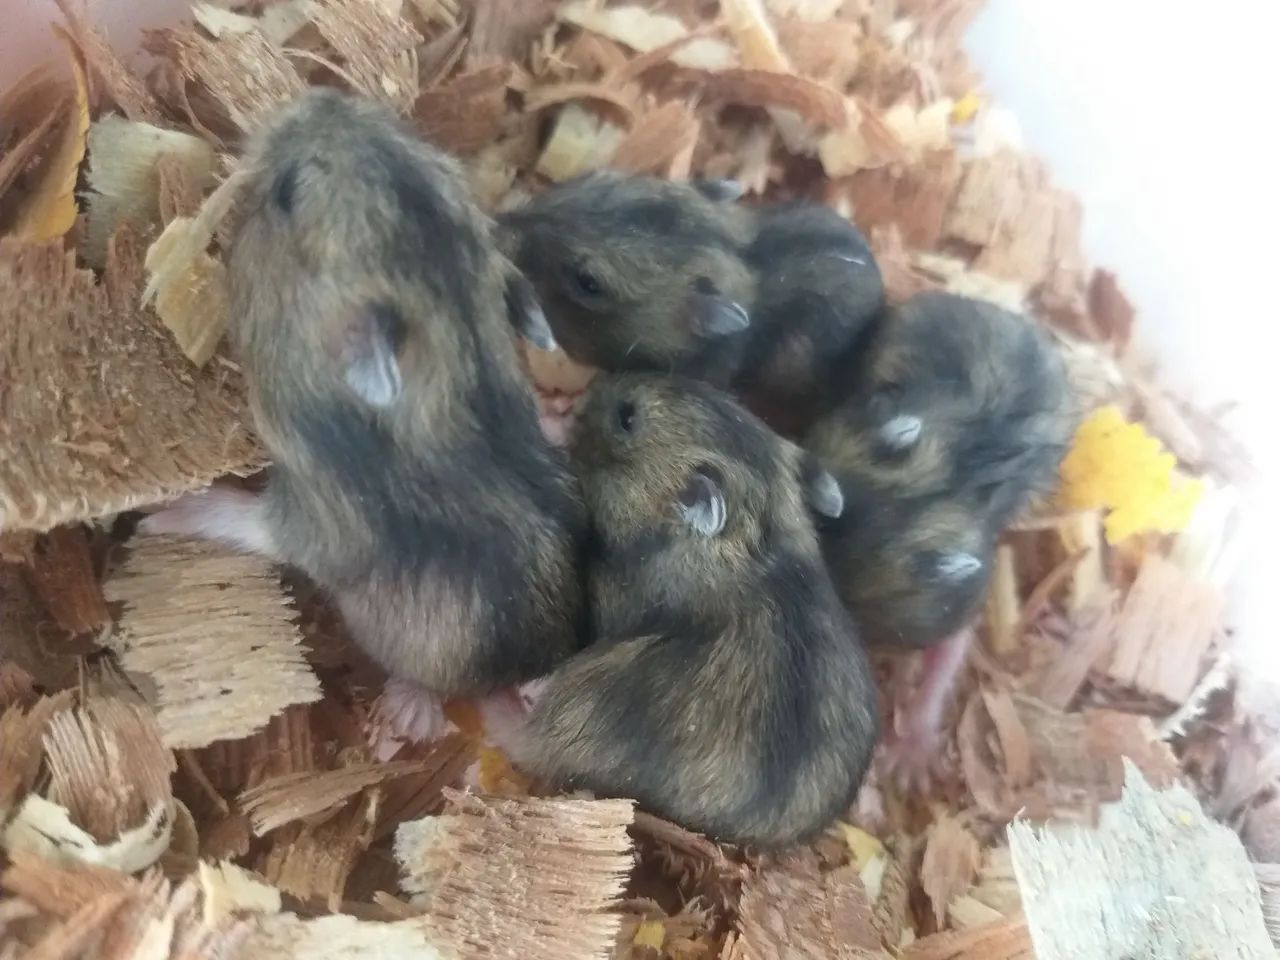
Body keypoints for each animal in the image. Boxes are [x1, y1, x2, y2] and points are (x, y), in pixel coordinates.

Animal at [141, 89, 588, 720]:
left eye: (287, 193)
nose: (316, 97)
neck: (460, 367)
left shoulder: (315, 522)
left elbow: (245, 521)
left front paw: (163, 513)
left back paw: (407, 712)